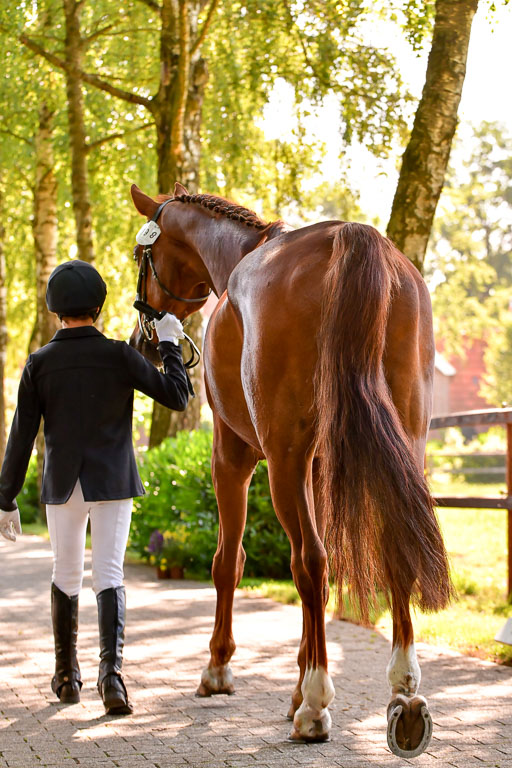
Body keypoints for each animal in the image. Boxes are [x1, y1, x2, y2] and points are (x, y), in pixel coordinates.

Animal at [129, 182, 452, 757]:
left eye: (141, 255)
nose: (142, 338)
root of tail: (353, 239)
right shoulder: (320, 465)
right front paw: (297, 683)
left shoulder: (232, 455)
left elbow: (228, 562)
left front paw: (222, 670)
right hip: (404, 445)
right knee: (392, 544)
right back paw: (404, 691)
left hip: (282, 459)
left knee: (311, 564)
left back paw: (316, 707)